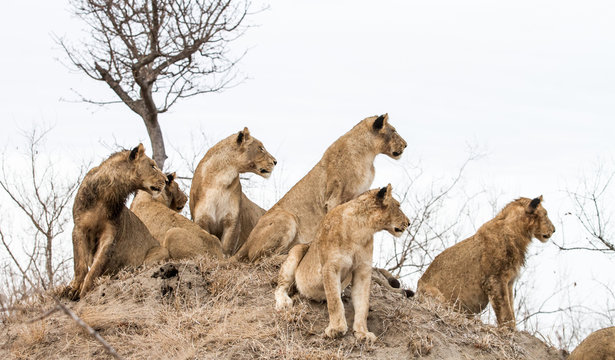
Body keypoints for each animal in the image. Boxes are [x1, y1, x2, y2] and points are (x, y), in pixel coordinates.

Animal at [65, 144, 170, 300]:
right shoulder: (79, 228)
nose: (167, 181)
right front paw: (74, 288)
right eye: (152, 166)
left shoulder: (110, 234)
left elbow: (96, 266)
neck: (109, 192)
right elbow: (80, 264)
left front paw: (84, 292)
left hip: (162, 250)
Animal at [233, 114, 406, 262]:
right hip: (287, 218)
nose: (406, 145)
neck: (368, 154)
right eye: (394, 131)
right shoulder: (335, 196)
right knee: (260, 259)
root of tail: (246, 243)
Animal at [274, 186, 410, 344]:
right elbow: (334, 301)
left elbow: (363, 304)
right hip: (296, 251)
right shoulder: (330, 267)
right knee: (280, 287)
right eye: (398, 206)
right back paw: (284, 302)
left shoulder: (362, 271)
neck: (361, 229)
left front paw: (363, 332)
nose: (409, 222)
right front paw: (336, 329)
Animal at [416, 197, 556, 330]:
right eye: (545, 214)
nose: (554, 230)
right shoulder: (494, 280)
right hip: (434, 294)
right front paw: (509, 329)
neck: (518, 235)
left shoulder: (509, 281)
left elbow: (510, 306)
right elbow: (505, 309)